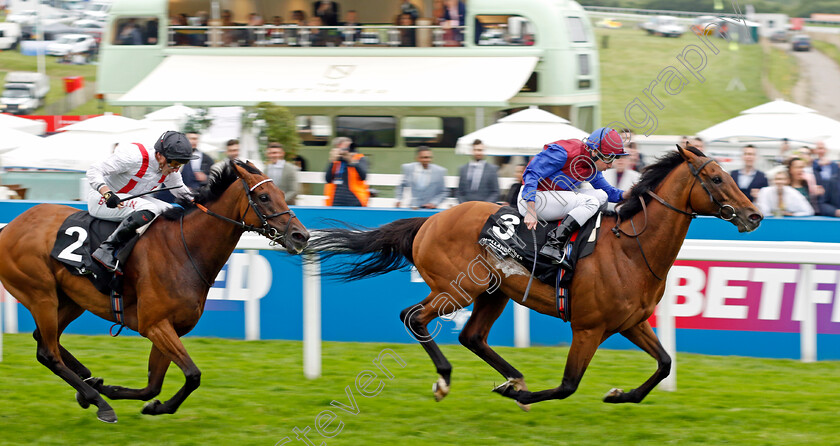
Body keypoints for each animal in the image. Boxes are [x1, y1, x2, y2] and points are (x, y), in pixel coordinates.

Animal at [0, 160, 308, 422]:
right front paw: (130, 399)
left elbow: (154, 385)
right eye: (264, 197)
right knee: (48, 352)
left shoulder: (171, 328)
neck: (184, 249)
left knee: (43, 339)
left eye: (282, 193)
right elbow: (193, 374)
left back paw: (89, 383)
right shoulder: (155, 325)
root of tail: (10, 227)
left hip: (70, 300)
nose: (301, 235)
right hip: (40, 294)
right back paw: (98, 401)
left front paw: (129, 395)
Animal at [308, 146, 760, 408]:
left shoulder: (630, 322)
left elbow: (665, 363)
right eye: (716, 178)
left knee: (471, 335)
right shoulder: (588, 327)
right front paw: (523, 395)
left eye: (730, 174)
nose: (754, 214)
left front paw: (620, 394)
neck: (632, 248)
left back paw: (510, 377)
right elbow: (568, 384)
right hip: (458, 288)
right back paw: (448, 379)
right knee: (413, 317)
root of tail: (430, 220)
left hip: (493, 292)